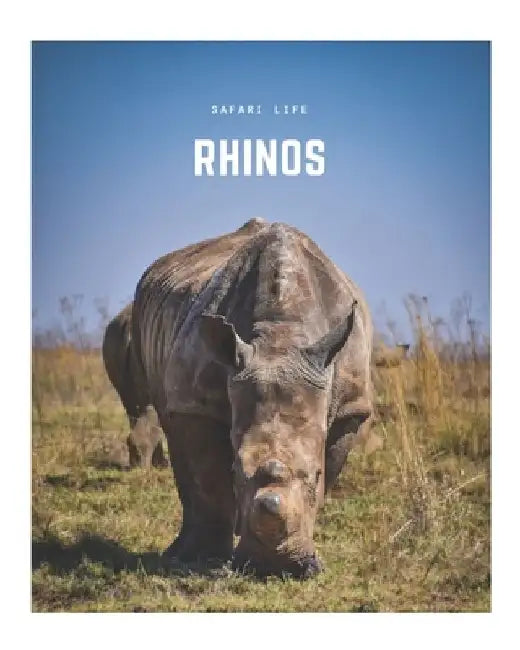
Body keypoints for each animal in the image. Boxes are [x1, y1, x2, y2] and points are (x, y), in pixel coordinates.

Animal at [102, 304, 167, 468]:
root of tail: (128, 323)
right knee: (150, 411)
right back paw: (151, 465)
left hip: (112, 345)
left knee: (132, 410)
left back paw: (137, 463)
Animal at [132, 218, 373, 578]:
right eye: (236, 471)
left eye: (315, 474)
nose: (274, 567)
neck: (281, 336)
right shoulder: (196, 401)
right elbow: (209, 481)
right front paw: (204, 559)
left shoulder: (350, 408)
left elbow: (330, 469)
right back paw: (181, 553)